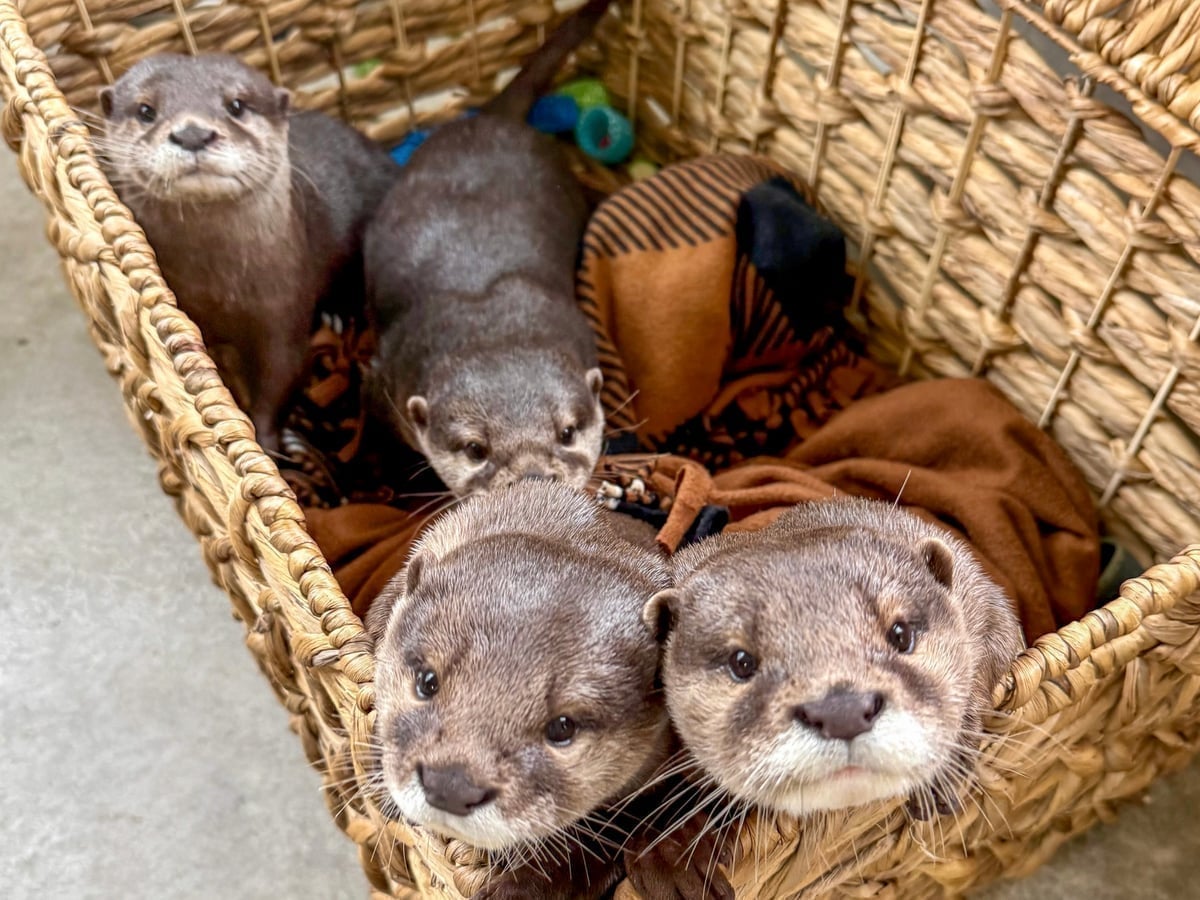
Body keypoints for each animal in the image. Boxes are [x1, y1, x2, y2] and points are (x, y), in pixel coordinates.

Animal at [98, 53, 398, 455]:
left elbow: (280, 377)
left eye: (237, 105)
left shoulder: (282, 313)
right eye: (146, 110)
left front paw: (266, 445)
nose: (192, 134)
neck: (220, 290)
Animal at [363, 0, 613, 496]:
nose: (534, 477)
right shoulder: (382, 379)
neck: (489, 320)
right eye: (476, 448)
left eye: (567, 431)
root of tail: (490, 118)